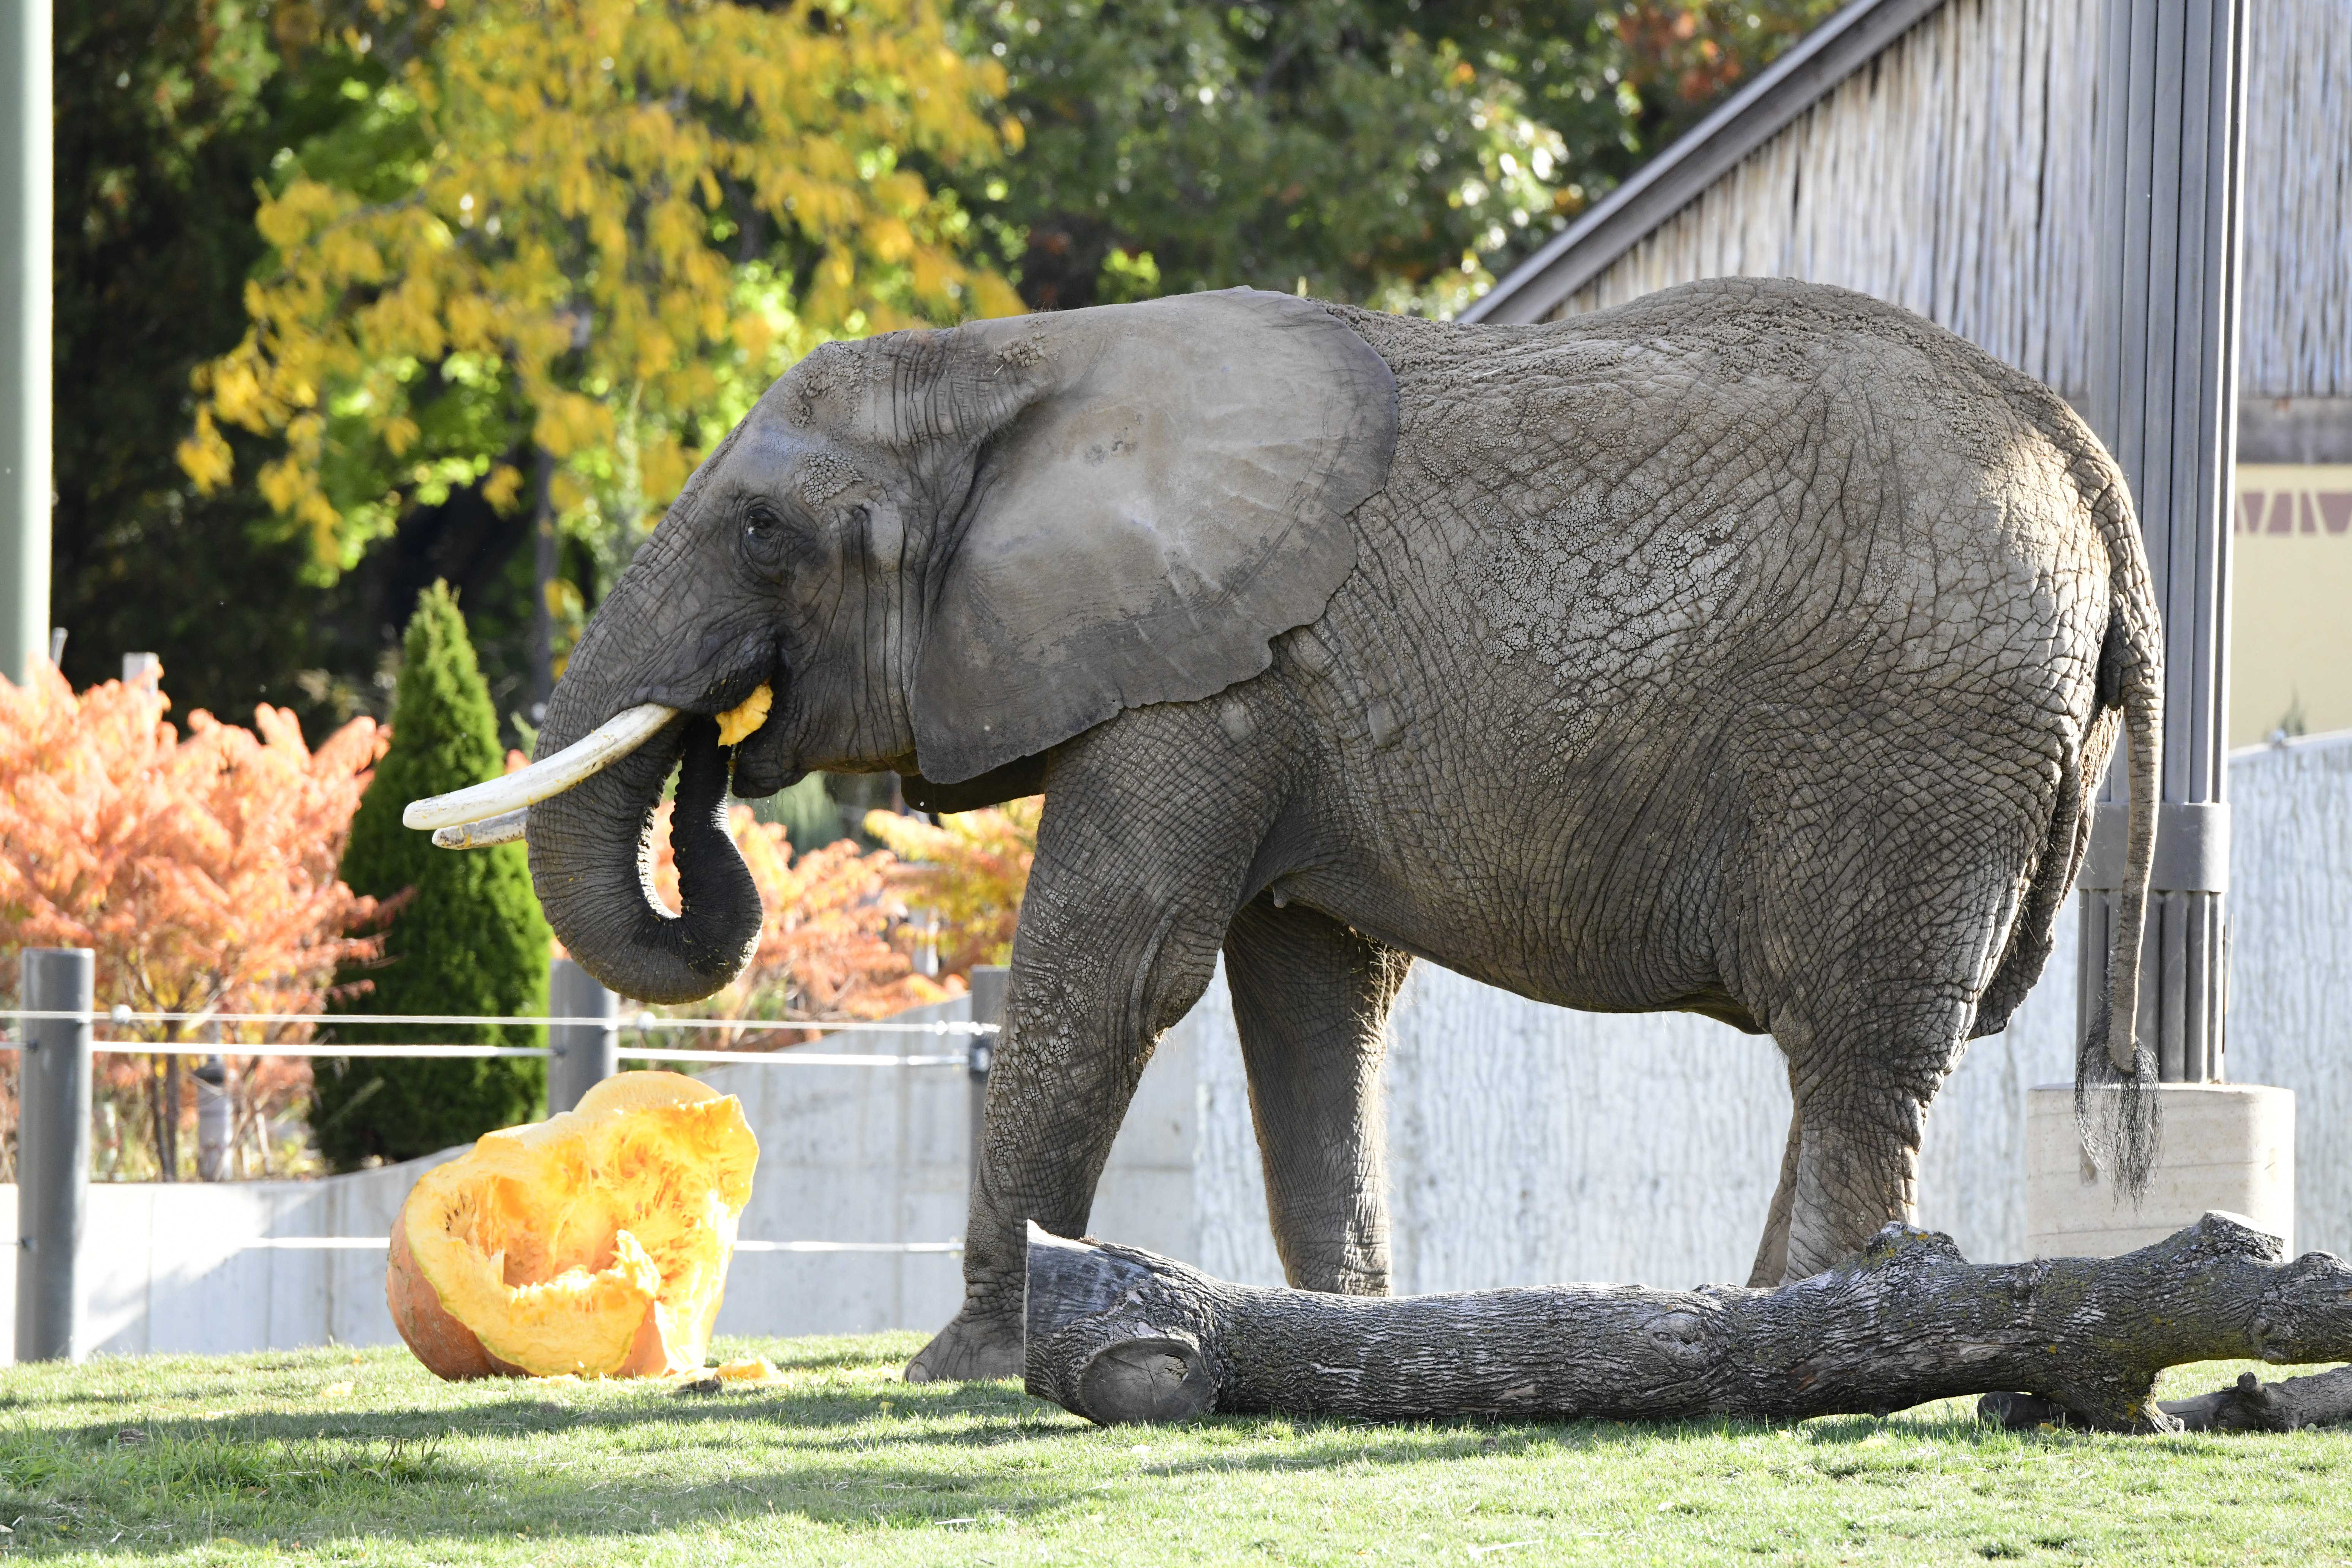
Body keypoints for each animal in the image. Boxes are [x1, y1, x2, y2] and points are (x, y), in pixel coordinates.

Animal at [408, 276, 2161, 1385]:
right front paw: (1345, 1344)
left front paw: (960, 1366)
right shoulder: (1262, 688)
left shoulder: (1201, 674)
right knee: (1846, 1052)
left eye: (767, 532)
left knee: (1851, 1043)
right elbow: (1312, 1001)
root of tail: (2086, 460)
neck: (1012, 360)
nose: (720, 744)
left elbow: (1113, 970)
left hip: (1906, 737)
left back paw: (1807, 1344)